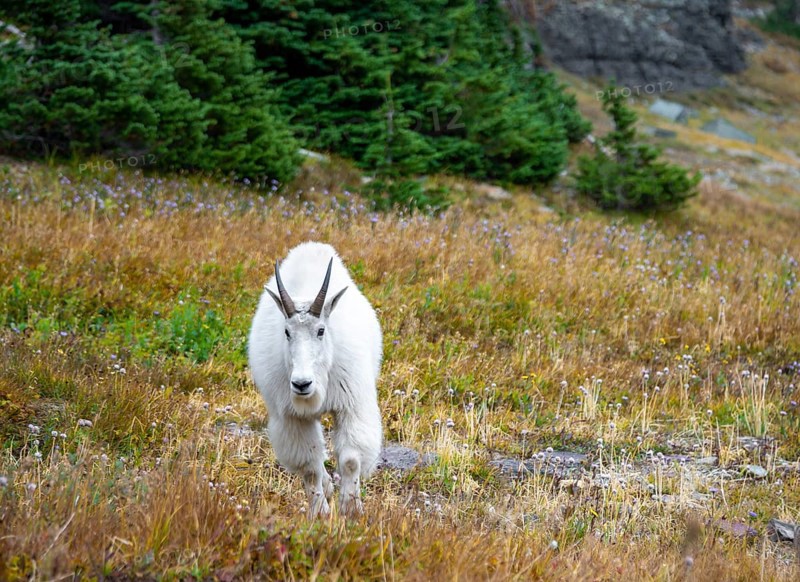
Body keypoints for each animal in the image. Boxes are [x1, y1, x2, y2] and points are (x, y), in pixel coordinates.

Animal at [248, 242, 383, 517]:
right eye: (286, 332)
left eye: (321, 330)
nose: (302, 384)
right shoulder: (293, 418)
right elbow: (309, 467)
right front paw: (320, 512)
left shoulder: (350, 405)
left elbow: (350, 460)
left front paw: (351, 509)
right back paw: (328, 486)